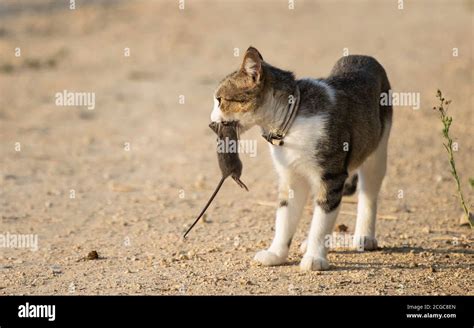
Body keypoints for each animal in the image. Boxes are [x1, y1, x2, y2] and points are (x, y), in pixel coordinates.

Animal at [211, 46, 392, 272]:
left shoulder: (331, 175)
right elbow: (285, 217)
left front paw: (315, 257)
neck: (291, 122)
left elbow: (322, 218)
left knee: (368, 193)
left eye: (220, 100)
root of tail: (363, 57)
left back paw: (364, 237)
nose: (211, 122)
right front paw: (276, 254)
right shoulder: (291, 177)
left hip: (377, 151)